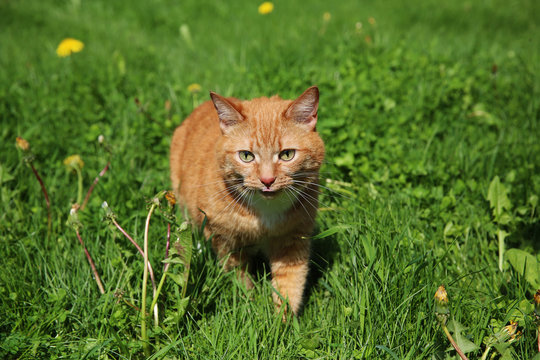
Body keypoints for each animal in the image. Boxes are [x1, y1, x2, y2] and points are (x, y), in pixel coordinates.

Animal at [169, 86, 322, 316]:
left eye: (287, 154)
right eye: (246, 156)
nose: (267, 180)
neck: (266, 212)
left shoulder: (293, 239)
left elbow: (290, 283)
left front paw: (282, 320)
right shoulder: (225, 240)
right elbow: (239, 278)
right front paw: (247, 304)